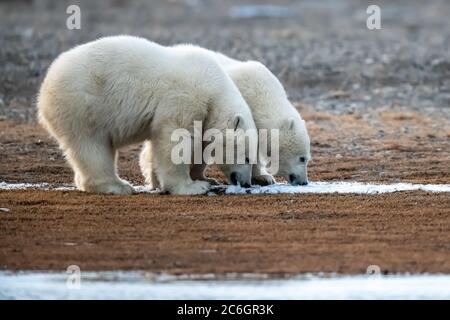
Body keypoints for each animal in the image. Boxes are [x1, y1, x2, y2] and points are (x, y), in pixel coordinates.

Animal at [37, 36, 256, 194]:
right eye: (247, 158)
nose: (246, 183)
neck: (214, 87)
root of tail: (44, 90)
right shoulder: (186, 96)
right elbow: (175, 138)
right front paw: (193, 187)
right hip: (83, 105)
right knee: (92, 146)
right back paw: (118, 186)